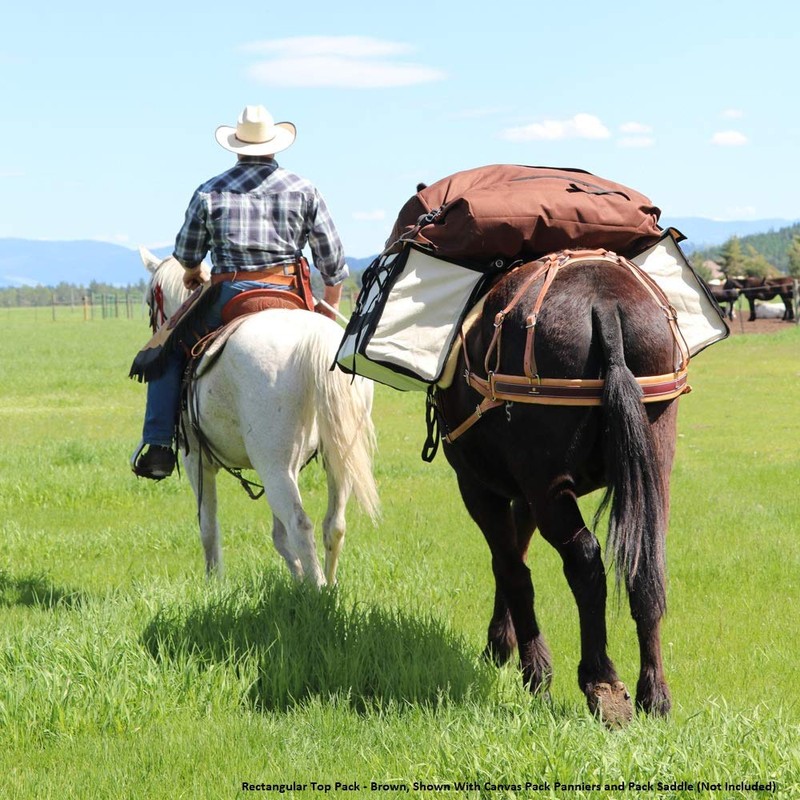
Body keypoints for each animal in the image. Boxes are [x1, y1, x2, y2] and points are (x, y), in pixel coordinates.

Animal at [138, 248, 380, 586]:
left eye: (151, 302)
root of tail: (313, 339)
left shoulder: (195, 460)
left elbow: (208, 526)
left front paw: (214, 582)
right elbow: (279, 535)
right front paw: (296, 578)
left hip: (273, 465)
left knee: (300, 525)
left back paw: (317, 591)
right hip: (334, 456)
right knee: (333, 524)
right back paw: (328, 587)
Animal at [433, 250, 685, 726]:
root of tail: (603, 305)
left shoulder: (480, 488)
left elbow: (511, 566)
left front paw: (529, 666)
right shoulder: (524, 496)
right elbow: (514, 556)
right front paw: (503, 643)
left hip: (542, 484)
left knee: (584, 562)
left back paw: (601, 682)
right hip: (653, 461)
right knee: (645, 565)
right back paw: (654, 693)